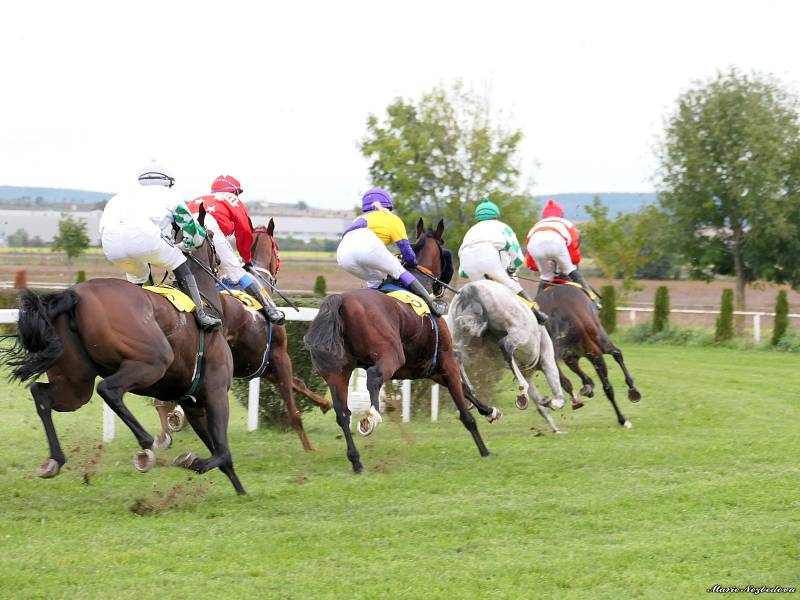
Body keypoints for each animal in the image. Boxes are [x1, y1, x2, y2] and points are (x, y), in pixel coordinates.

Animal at [1, 219, 245, 492]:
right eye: (212, 235)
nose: (225, 262)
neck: (205, 303)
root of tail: (75, 294)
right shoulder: (215, 392)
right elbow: (222, 452)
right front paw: (196, 463)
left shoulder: (192, 403)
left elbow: (222, 455)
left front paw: (241, 493)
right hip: (153, 360)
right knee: (109, 389)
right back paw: (146, 444)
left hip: (75, 384)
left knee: (42, 394)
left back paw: (54, 460)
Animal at [304, 219, 494, 474]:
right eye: (446, 250)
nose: (442, 287)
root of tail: (342, 300)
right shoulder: (446, 361)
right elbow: (464, 409)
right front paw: (484, 450)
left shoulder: (431, 369)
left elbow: (466, 391)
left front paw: (490, 411)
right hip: (391, 355)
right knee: (374, 377)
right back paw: (371, 418)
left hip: (338, 371)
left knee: (342, 412)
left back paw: (356, 461)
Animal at [446, 278, 564, 434]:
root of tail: (470, 289)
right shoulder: (547, 361)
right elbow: (559, 397)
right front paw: (551, 404)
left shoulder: (528, 373)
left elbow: (540, 406)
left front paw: (554, 427)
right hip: (518, 331)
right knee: (505, 345)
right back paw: (521, 390)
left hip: (461, 331)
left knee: (456, 353)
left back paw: (470, 390)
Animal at [536, 282, 640, 426]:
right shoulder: (570, 355)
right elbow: (570, 380)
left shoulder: (592, 353)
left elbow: (607, 387)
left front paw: (622, 419)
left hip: (594, 343)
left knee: (616, 354)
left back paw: (632, 389)